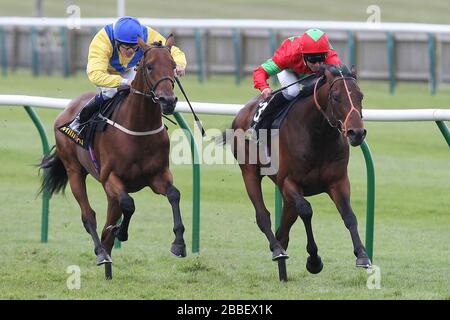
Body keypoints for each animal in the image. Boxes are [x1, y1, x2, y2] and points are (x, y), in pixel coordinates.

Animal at [38, 35, 186, 278]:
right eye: (149, 66)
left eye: (173, 65)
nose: (168, 101)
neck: (138, 128)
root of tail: (67, 109)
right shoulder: (110, 178)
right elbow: (129, 203)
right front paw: (120, 233)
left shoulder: (158, 176)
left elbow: (174, 194)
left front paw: (179, 243)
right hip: (74, 170)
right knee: (89, 215)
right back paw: (101, 253)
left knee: (108, 219)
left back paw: (108, 265)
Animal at [221, 64, 372, 280]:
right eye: (336, 97)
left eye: (360, 95)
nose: (356, 133)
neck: (317, 135)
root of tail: (241, 112)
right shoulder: (289, 182)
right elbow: (306, 211)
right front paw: (314, 260)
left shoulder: (338, 181)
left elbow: (349, 215)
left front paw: (362, 255)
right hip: (250, 172)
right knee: (263, 216)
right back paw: (277, 251)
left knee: (283, 231)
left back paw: (283, 271)